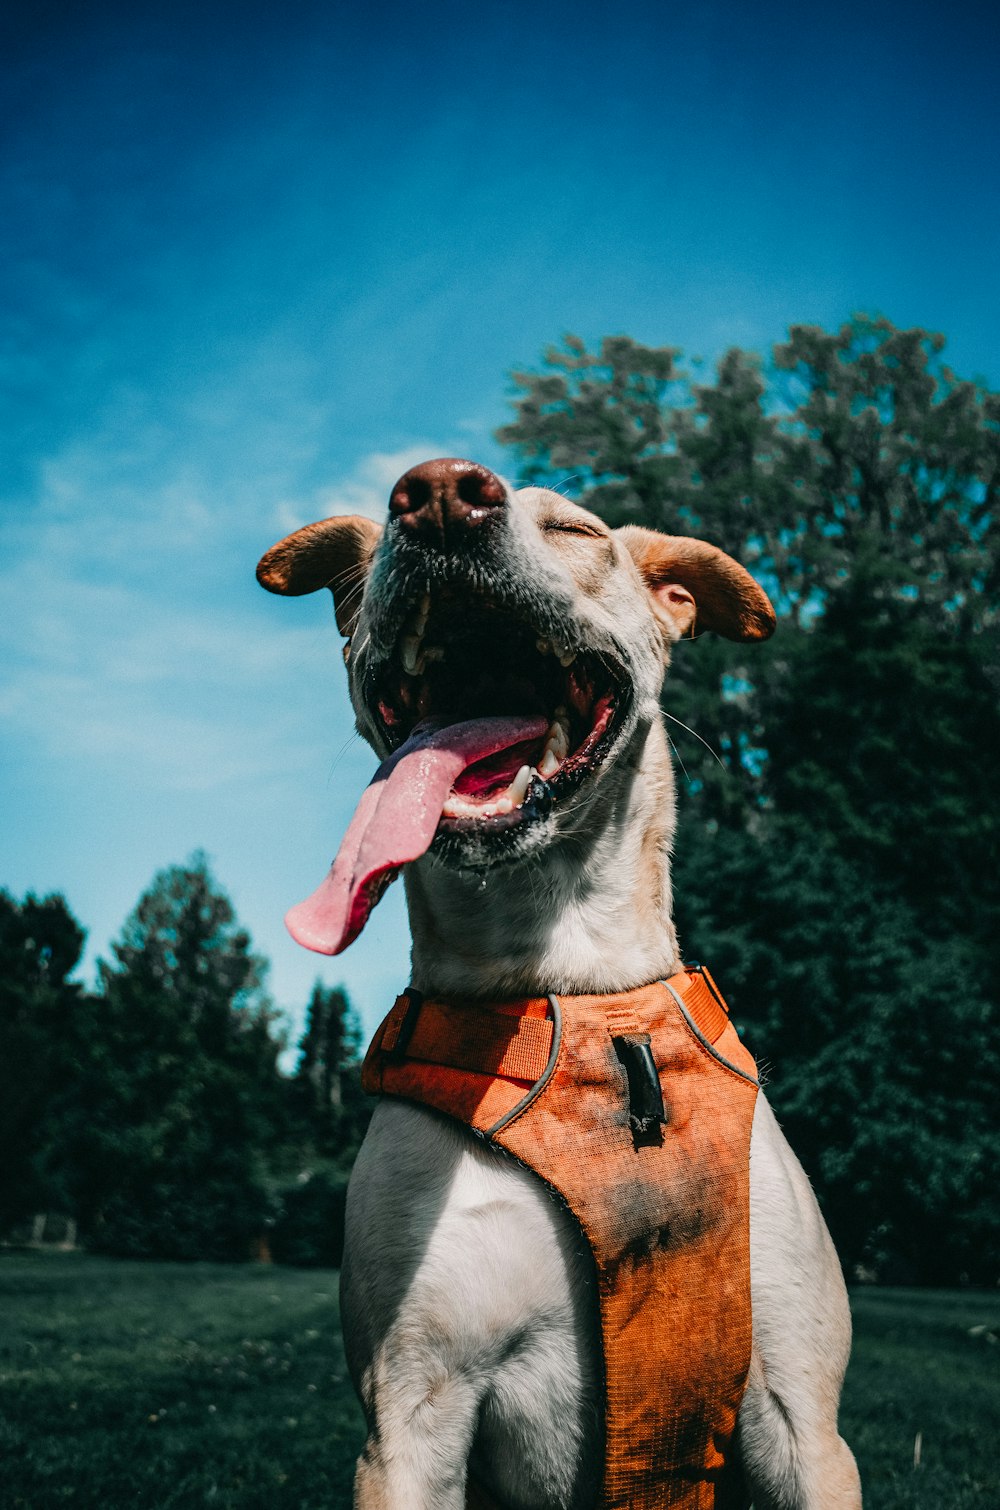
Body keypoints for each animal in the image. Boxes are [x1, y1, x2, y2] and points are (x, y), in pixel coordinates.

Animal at [258, 459, 864, 1510]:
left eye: (577, 532)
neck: (578, 1000)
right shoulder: (410, 1419)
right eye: (377, 542)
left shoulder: (805, 1420)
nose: (437, 495)